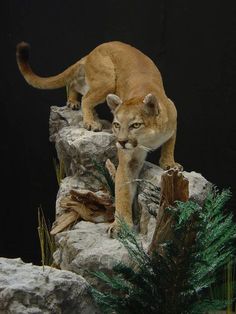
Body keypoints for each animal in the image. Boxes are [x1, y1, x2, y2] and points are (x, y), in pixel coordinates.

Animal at [16, 40, 182, 234]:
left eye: (135, 125)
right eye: (117, 125)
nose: (121, 142)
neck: (147, 140)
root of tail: (95, 50)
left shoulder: (173, 119)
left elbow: (170, 144)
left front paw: (169, 163)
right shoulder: (128, 161)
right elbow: (123, 192)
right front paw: (120, 225)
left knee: (76, 84)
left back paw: (73, 102)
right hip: (106, 79)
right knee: (86, 97)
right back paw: (89, 120)